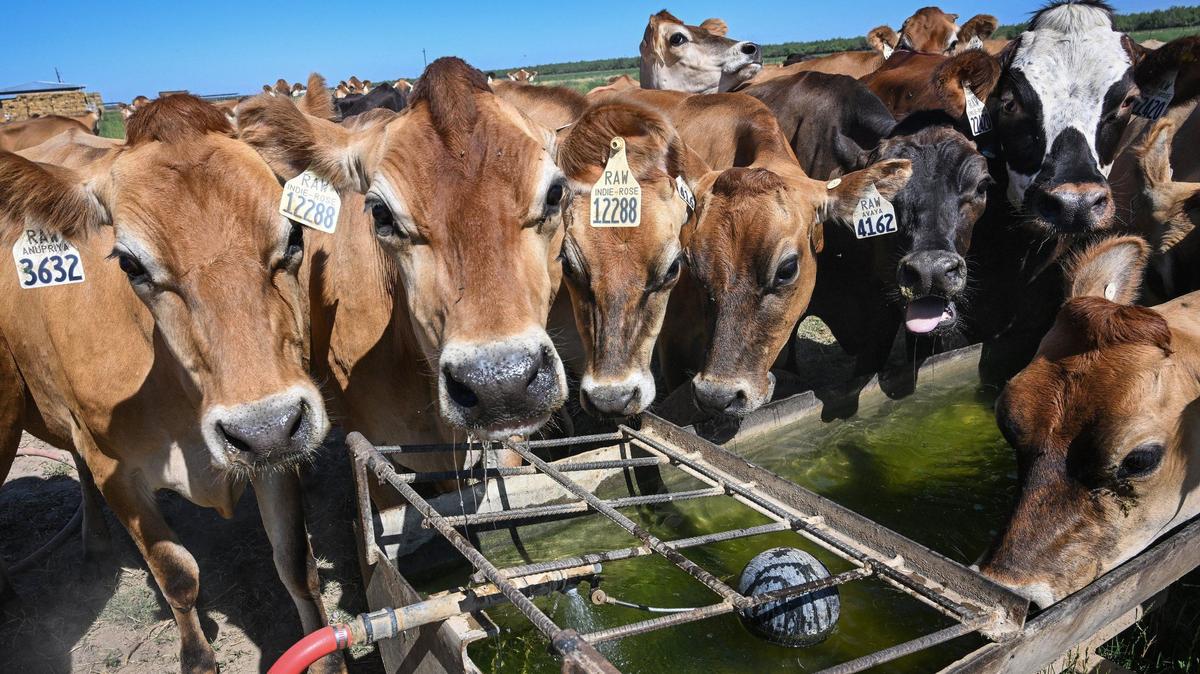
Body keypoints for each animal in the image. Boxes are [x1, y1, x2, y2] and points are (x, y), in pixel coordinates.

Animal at [1, 95, 339, 673]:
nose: (266, 427)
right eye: (131, 264)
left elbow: (296, 563)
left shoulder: (278, 448)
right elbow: (177, 573)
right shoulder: (115, 470)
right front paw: (197, 657)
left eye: (295, 235)